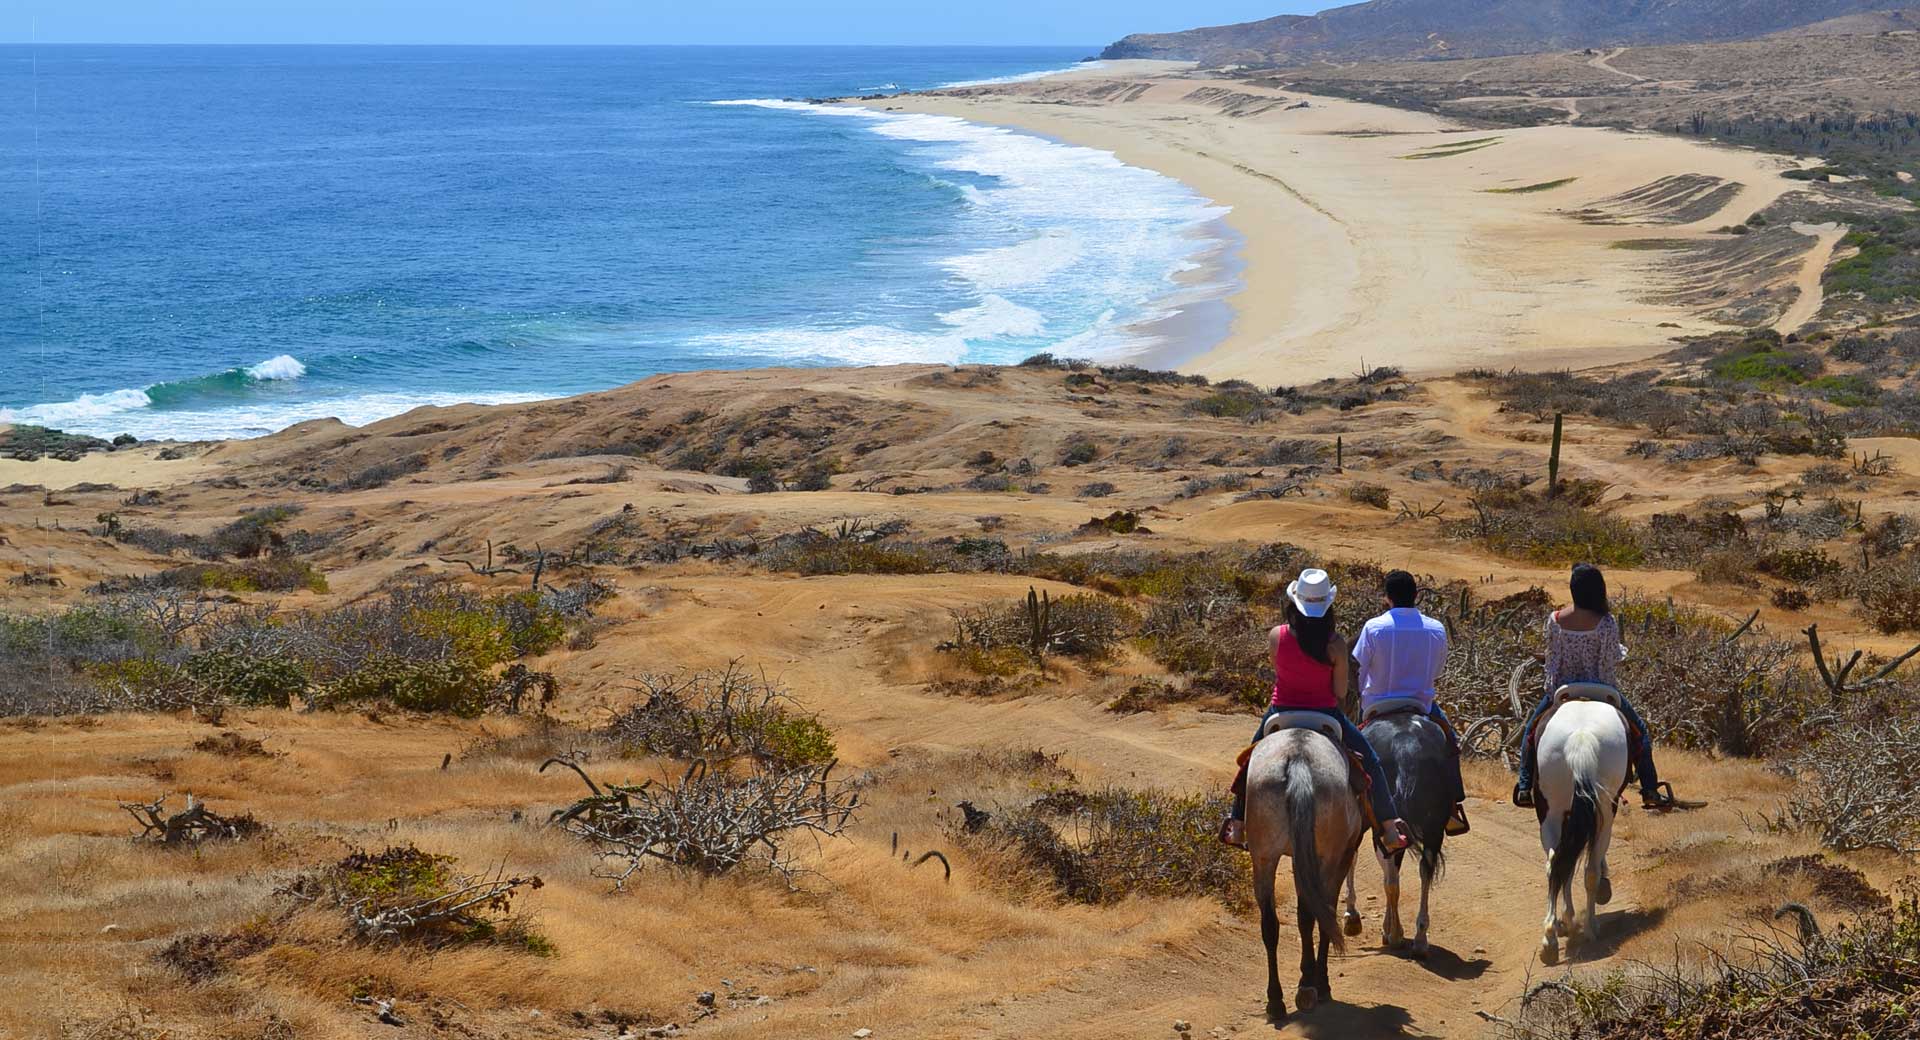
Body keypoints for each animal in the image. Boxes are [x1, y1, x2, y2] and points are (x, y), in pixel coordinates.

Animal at [1351, 709, 1451, 963]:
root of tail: (1406, 743)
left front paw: (1354, 917)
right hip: (1434, 826)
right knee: (1425, 871)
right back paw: (1420, 940)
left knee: (1392, 880)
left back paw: (1395, 935)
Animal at [1528, 694, 1620, 970]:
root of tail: (1581, 737)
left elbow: (1565, 867)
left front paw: (1564, 921)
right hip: (1605, 811)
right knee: (1588, 871)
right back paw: (1590, 928)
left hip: (1550, 812)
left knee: (1554, 865)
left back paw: (1549, 940)